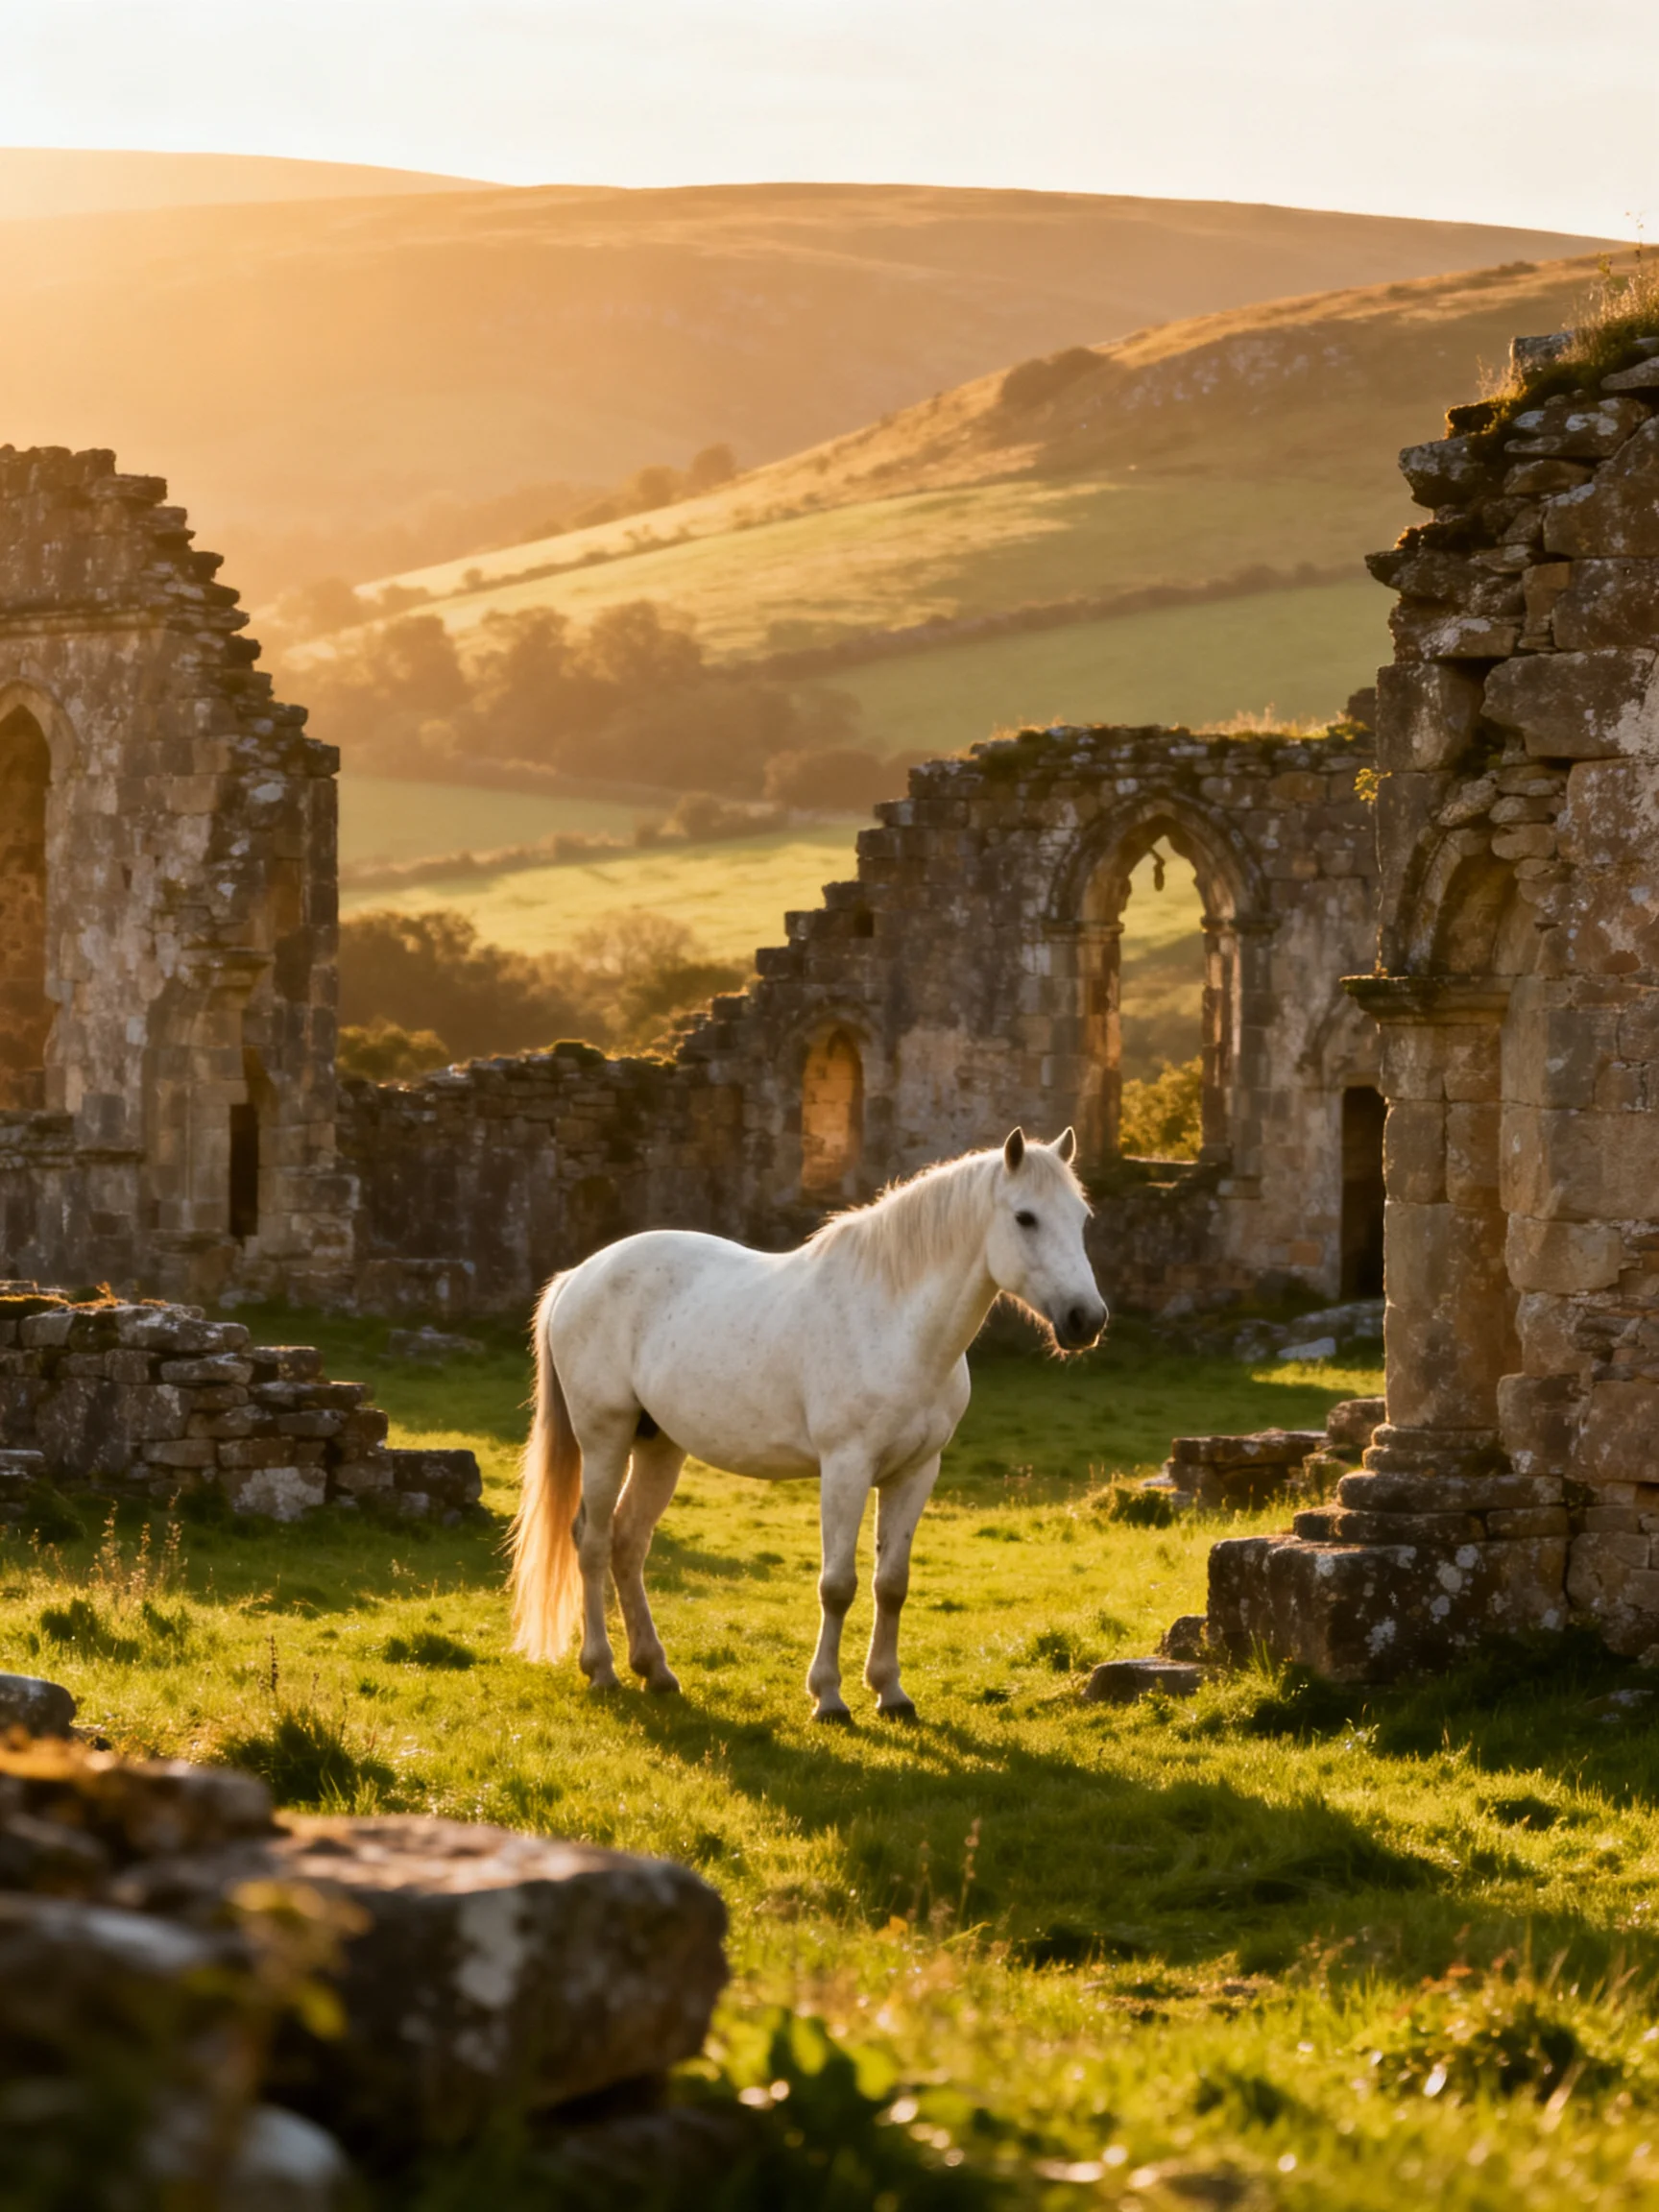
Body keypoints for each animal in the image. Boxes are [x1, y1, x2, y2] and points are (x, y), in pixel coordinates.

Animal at [509, 1127, 1107, 1723]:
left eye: (1081, 1218)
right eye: (1025, 1217)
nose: (1087, 1319)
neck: (896, 1323)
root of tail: (579, 1275)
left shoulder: (916, 1472)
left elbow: (892, 1584)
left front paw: (891, 1692)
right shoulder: (846, 1467)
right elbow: (838, 1585)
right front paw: (829, 1697)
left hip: (660, 1447)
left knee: (628, 1543)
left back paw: (655, 1670)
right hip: (604, 1439)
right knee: (591, 1541)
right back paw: (602, 1669)